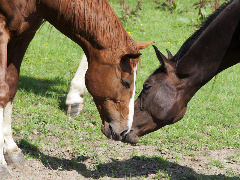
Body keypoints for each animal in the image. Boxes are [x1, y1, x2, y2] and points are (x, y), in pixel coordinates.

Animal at [0, 0, 154, 177]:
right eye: (126, 82)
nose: (124, 131)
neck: (38, 3)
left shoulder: (25, 34)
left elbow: (11, 85)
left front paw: (11, 149)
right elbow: (3, 91)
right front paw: (2, 164)